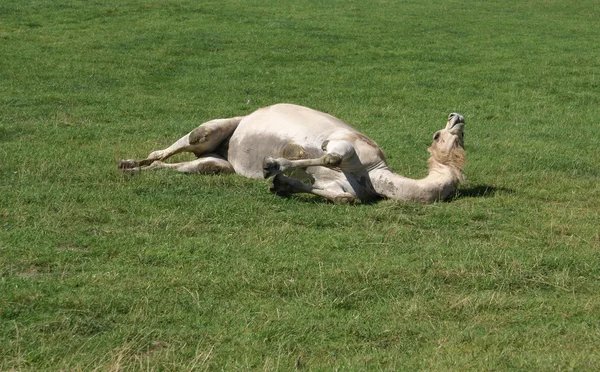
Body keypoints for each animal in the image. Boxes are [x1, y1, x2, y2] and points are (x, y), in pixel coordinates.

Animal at [117, 103, 464, 203]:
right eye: (438, 135)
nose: (457, 117)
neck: (375, 175)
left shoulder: (341, 187)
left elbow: (343, 197)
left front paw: (281, 183)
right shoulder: (343, 143)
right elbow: (328, 155)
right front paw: (273, 165)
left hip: (218, 163)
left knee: (191, 166)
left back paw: (133, 168)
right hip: (213, 130)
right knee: (176, 144)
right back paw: (128, 161)